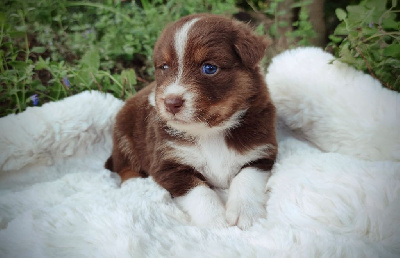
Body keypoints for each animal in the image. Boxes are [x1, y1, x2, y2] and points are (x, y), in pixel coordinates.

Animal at [104, 13, 276, 230]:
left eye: (209, 68)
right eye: (164, 67)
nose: (171, 102)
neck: (210, 132)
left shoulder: (262, 151)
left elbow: (247, 177)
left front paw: (244, 213)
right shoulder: (168, 166)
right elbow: (200, 192)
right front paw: (214, 221)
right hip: (123, 132)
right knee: (125, 168)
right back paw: (137, 186)